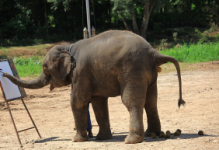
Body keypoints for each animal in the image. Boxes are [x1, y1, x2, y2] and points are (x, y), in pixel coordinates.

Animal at [3, 29, 185, 144]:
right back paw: (152, 134)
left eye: (45, 68)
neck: (68, 47)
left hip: (132, 69)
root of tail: (154, 53)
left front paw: (77, 140)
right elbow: (98, 103)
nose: (3, 74)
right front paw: (102, 138)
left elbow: (77, 101)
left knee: (131, 101)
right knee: (151, 101)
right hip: (150, 74)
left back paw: (131, 141)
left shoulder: (80, 72)